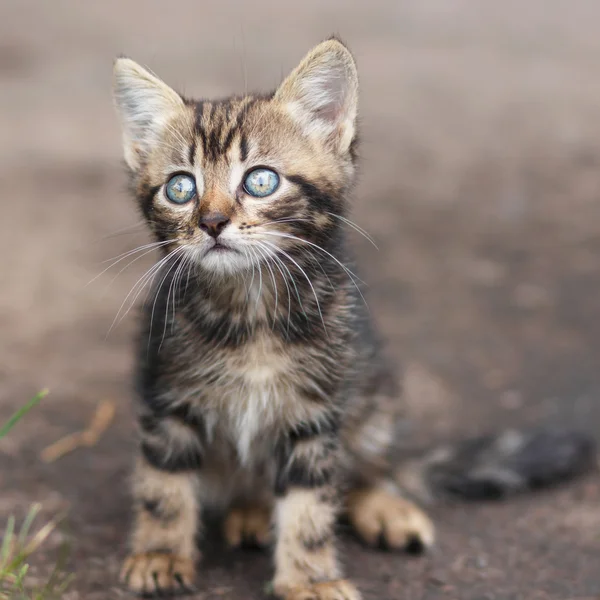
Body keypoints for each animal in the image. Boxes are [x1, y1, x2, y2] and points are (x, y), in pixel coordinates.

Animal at [112, 38, 596, 600]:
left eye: (260, 180)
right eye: (180, 189)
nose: (211, 222)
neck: (251, 311)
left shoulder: (317, 411)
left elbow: (310, 504)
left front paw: (310, 578)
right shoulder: (166, 393)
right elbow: (163, 486)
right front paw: (160, 553)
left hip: (374, 394)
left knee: (368, 469)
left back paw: (383, 505)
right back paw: (251, 511)